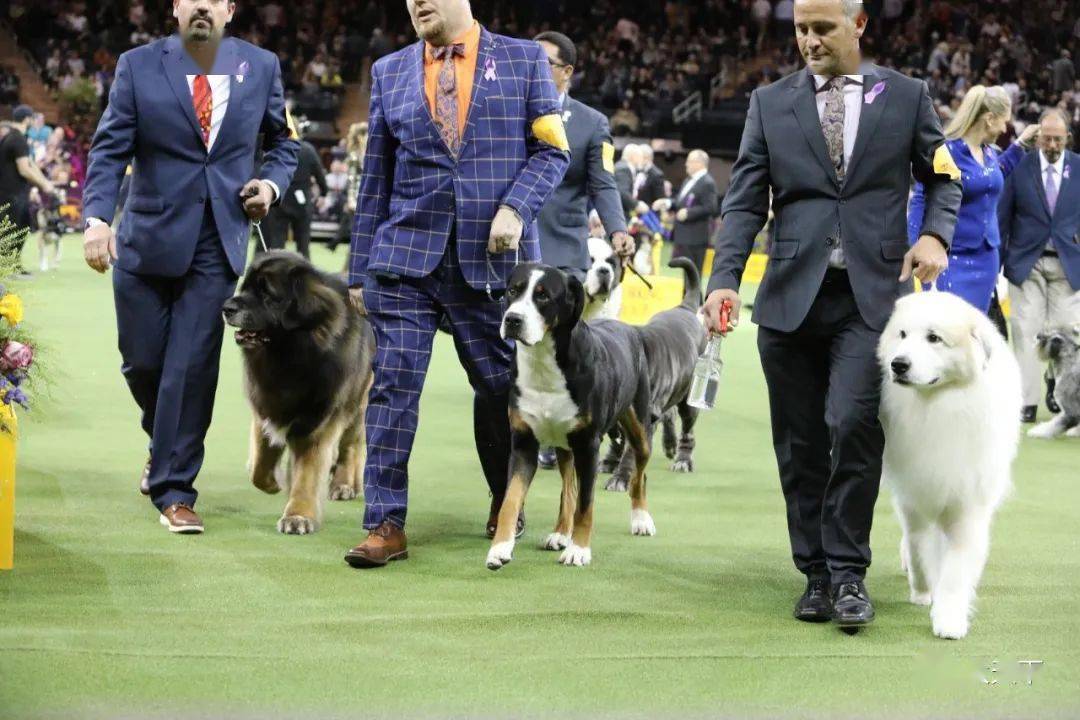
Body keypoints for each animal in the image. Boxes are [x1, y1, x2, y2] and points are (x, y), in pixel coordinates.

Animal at [222, 253, 375, 535]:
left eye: (267, 293)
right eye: (244, 288)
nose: (227, 307)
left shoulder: (318, 422)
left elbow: (307, 475)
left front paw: (298, 515)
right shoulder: (266, 409)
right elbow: (259, 467)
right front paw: (274, 481)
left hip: (357, 401)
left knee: (351, 446)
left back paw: (344, 483)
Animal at [486, 262, 652, 569]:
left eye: (543, 296)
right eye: (513, 290)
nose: (513, 319)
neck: (543, 363)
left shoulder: (588, 446)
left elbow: (586, 504)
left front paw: (579, 549)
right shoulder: (524, 443)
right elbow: (511, 500)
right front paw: (499, 548)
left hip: (639, 429)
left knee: (639, 474)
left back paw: (641, 519)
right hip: (564, 447)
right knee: (568, 490)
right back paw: (561, 533)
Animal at [876, 289, 1019, 639]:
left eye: (934, 338)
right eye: (902, 335)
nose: (898, 364)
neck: (937, 405)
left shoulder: (966, 503)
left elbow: (956, 569)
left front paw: (949, 619)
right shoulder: (913, 493)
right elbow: (918, 547)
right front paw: (923, 591)